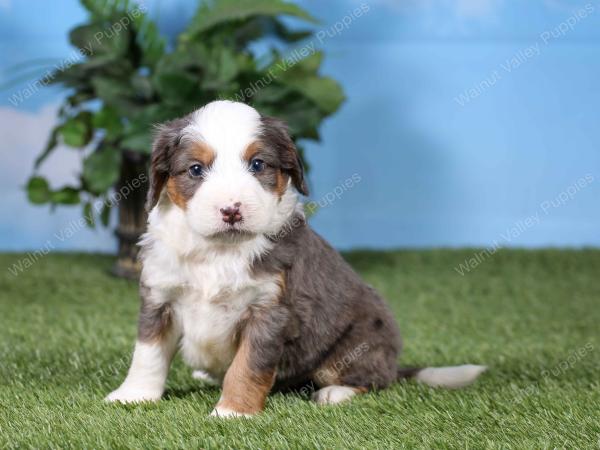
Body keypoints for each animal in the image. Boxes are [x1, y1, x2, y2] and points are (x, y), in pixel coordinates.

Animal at [104, 100, 488, 416]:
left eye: (258, 164)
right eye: (196, 170)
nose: (231, 210)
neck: (218, 250)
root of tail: (394, 361)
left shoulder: (270, 310)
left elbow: (248, 365)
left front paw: (233, 412)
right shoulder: (160, 296)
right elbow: (147, 353)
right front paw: (134, 396)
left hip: (358, 343)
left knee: (374, 379)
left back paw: (335, 393)